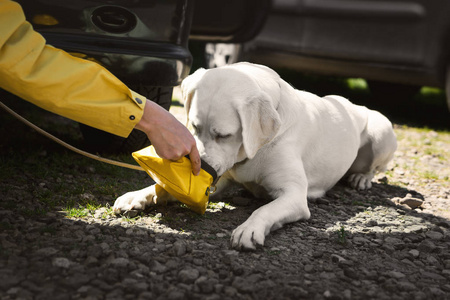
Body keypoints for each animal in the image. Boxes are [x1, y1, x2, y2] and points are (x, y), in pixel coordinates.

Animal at [113, 62, 398, 251]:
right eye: (194, 127)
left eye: (224, 135)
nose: (203, 168)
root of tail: (354, 104)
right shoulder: (222, 181)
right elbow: (161, 187)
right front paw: (137, 196)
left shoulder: (294, 196)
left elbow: (266, 209)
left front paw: (249, 229)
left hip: (381, 130)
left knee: (374, 167)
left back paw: (361, 178)